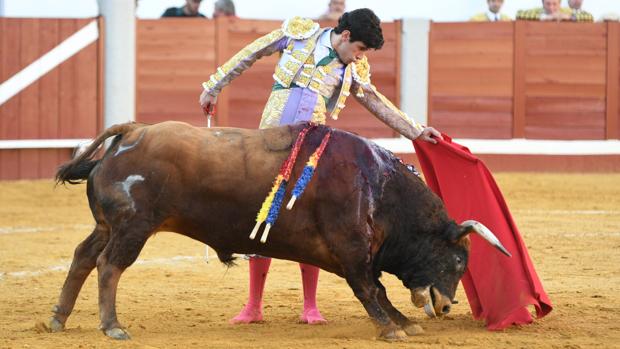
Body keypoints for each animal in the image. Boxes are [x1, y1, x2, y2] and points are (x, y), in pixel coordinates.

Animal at [49, 120, 508, 340]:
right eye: (458, 259)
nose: (447, 306)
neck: (377, 184)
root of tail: (132, 132)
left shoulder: (349, 254)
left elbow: (375, 288)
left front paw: (404, 322)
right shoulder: (352, 248)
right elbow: (370, 288)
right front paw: (393, 327)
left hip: (107, 225)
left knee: (83, 257)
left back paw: (58, 319)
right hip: (134, 226)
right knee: (110, 266)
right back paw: (112, 326)